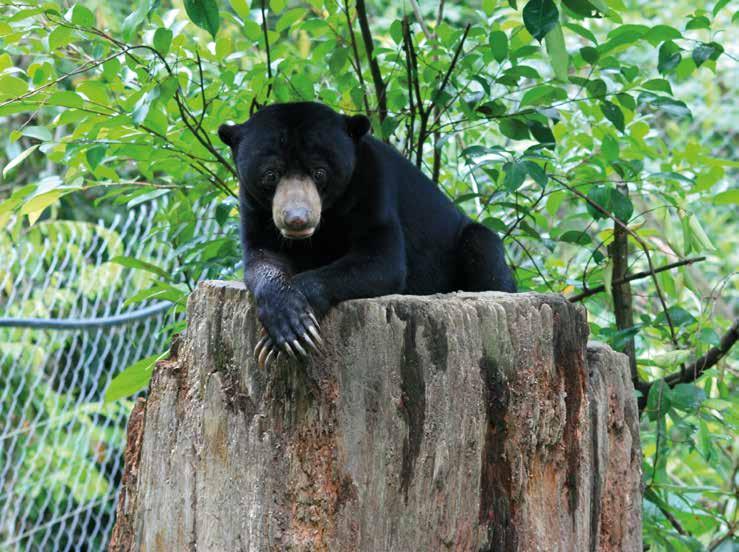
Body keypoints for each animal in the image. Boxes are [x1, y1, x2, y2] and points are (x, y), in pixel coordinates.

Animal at [218, 102, 516, 368]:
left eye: (320, 172)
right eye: (270, 175)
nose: (296, 219)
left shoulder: (372, 188)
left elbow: (381, 260)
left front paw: (289, 332)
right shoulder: (254, 208)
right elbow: (262, 257)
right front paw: (285, 319)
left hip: (467, 242)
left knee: (483, 250)